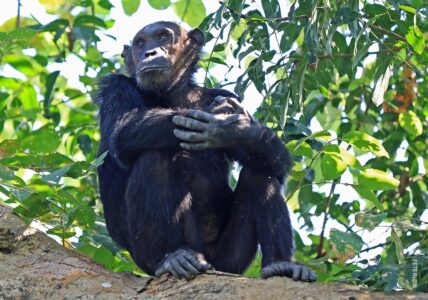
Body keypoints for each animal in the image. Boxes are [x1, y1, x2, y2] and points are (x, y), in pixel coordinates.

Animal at [95, 20, 316, 282]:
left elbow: (278, 159)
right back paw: (170, 257)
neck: (172, 94)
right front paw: (220, 119)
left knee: (261, 171)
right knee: (153, 157)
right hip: (148, 255)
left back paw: (281, 264)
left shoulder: (227, 94)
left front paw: (235, 129)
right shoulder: (114, 87)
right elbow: (124, 130)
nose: (149, 52)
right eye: (140, 42)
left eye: (162, 37)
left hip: (231, 260)